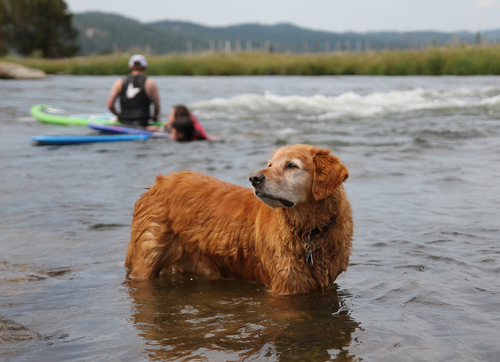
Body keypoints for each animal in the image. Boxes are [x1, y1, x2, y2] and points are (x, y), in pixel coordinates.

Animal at [124, 144, 352, 294]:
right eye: (270, 164)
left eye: (291, 166)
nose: (254, 178)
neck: (309, 231)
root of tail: (158, 182)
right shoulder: (285, 285)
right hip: (147, 259)